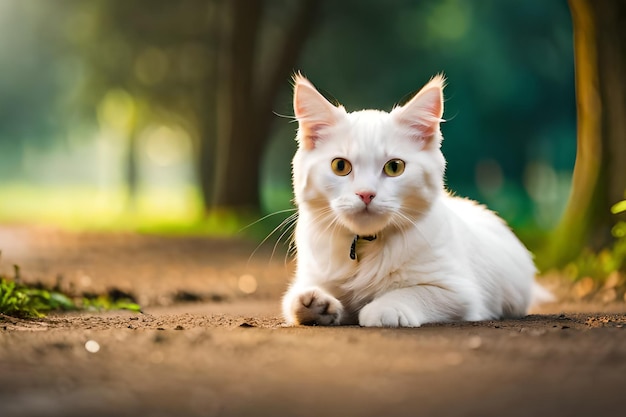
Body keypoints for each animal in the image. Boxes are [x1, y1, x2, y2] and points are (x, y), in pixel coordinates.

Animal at [280, 73, 548, 326]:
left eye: (394, 167)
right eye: (340, 166)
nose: (366, 194)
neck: (367, 247)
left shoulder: (457, 290)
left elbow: (410, 293)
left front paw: (383, 309)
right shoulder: (310, 278)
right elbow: (296, 300)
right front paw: (315, 304)